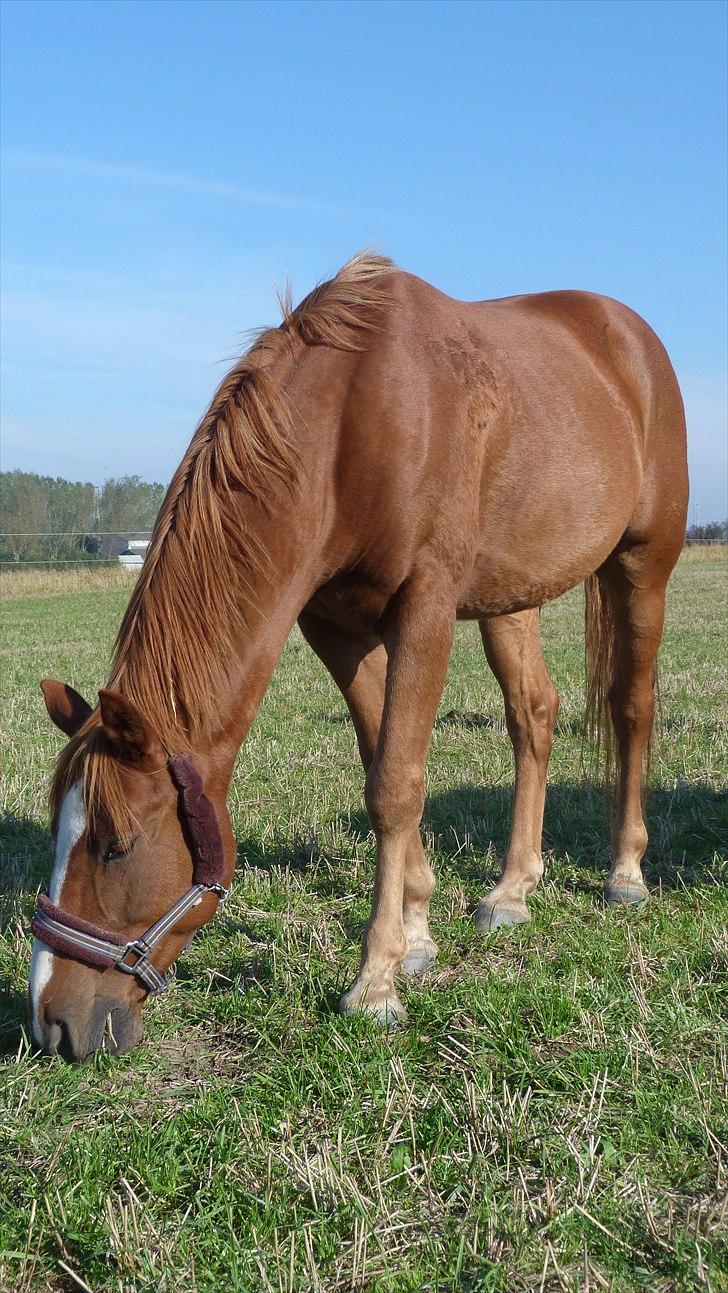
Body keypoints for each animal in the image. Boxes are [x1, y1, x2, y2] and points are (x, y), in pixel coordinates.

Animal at [28, 254, 687, 1060]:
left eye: (117, 845)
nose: (51, 1021)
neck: (353, 420)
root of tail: (630, 336)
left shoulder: (425, 609)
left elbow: (395, 785)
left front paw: (376, 982)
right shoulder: (336, 627)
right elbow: (382, 761)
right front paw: (418, 930)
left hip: (642, 567)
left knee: (631, 707)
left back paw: (625, 871)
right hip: (510, 597)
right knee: (534, 714)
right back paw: (512, 888)